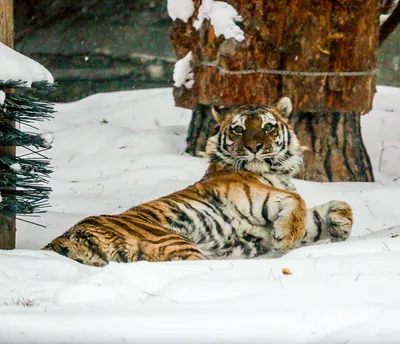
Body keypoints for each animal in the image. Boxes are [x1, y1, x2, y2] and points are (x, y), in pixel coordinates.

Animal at [42, 97, 352, 266]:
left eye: (267, 127)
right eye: (238, 129)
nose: (254, 147)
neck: (278, 173)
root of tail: (61, 242)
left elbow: (335, 207)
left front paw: (340, 227)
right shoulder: (252, 193)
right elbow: (297, 200)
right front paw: (286, 236)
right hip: (173, 241)